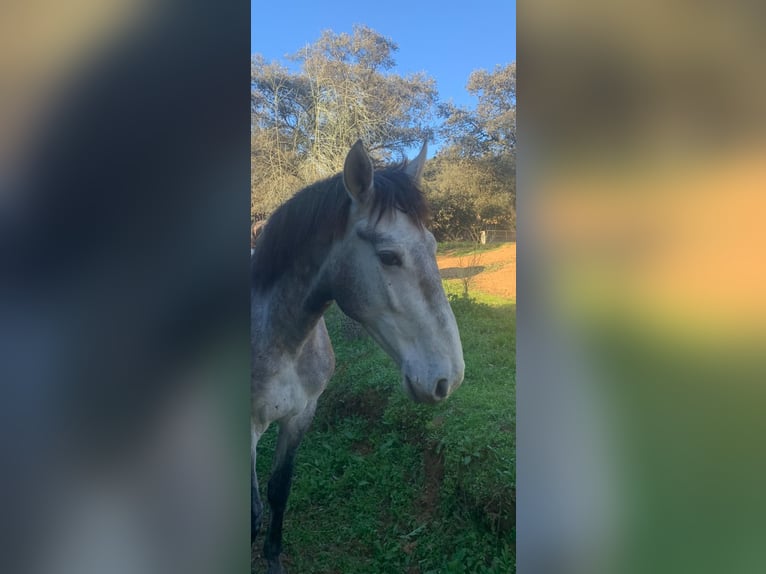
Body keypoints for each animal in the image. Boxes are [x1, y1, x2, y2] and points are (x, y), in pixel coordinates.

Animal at [255, 141, 464, 574]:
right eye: (388, 256)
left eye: (434, 247)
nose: (449, 379)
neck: (282, 341)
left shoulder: (301, 415)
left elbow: (278, 490)